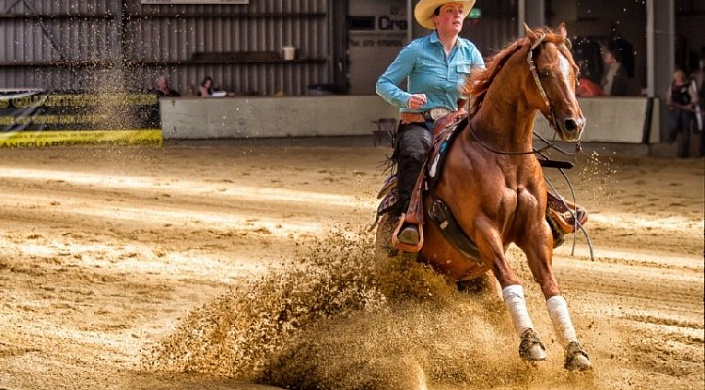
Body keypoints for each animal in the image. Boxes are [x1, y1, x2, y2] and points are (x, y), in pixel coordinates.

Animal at [376, 25, 592, 372]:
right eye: (545, 72)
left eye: (574, 71)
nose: (574, 124)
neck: (503, 154)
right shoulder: (483, 229)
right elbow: (510, 279)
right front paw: (531, 343)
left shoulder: (535, 231)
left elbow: (551, 287)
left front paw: (575, 350)